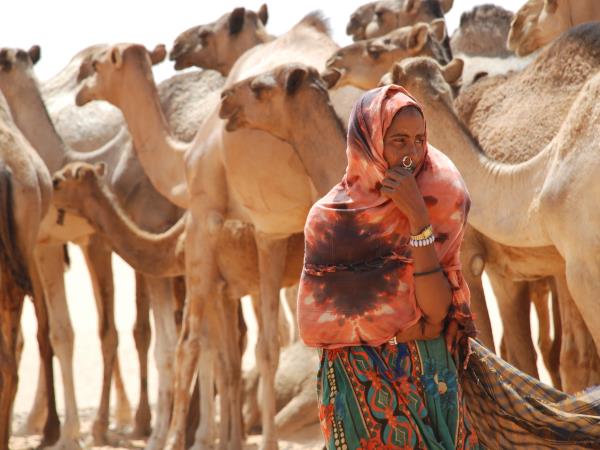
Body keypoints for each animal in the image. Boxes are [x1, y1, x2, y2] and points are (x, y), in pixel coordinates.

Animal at [75, 12, 364, 448]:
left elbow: (191, 343)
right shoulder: (265, 233)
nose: (79, 89)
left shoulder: (204, 216)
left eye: (96, 65)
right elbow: (246, 346)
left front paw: (180, 438)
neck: (182, 161)